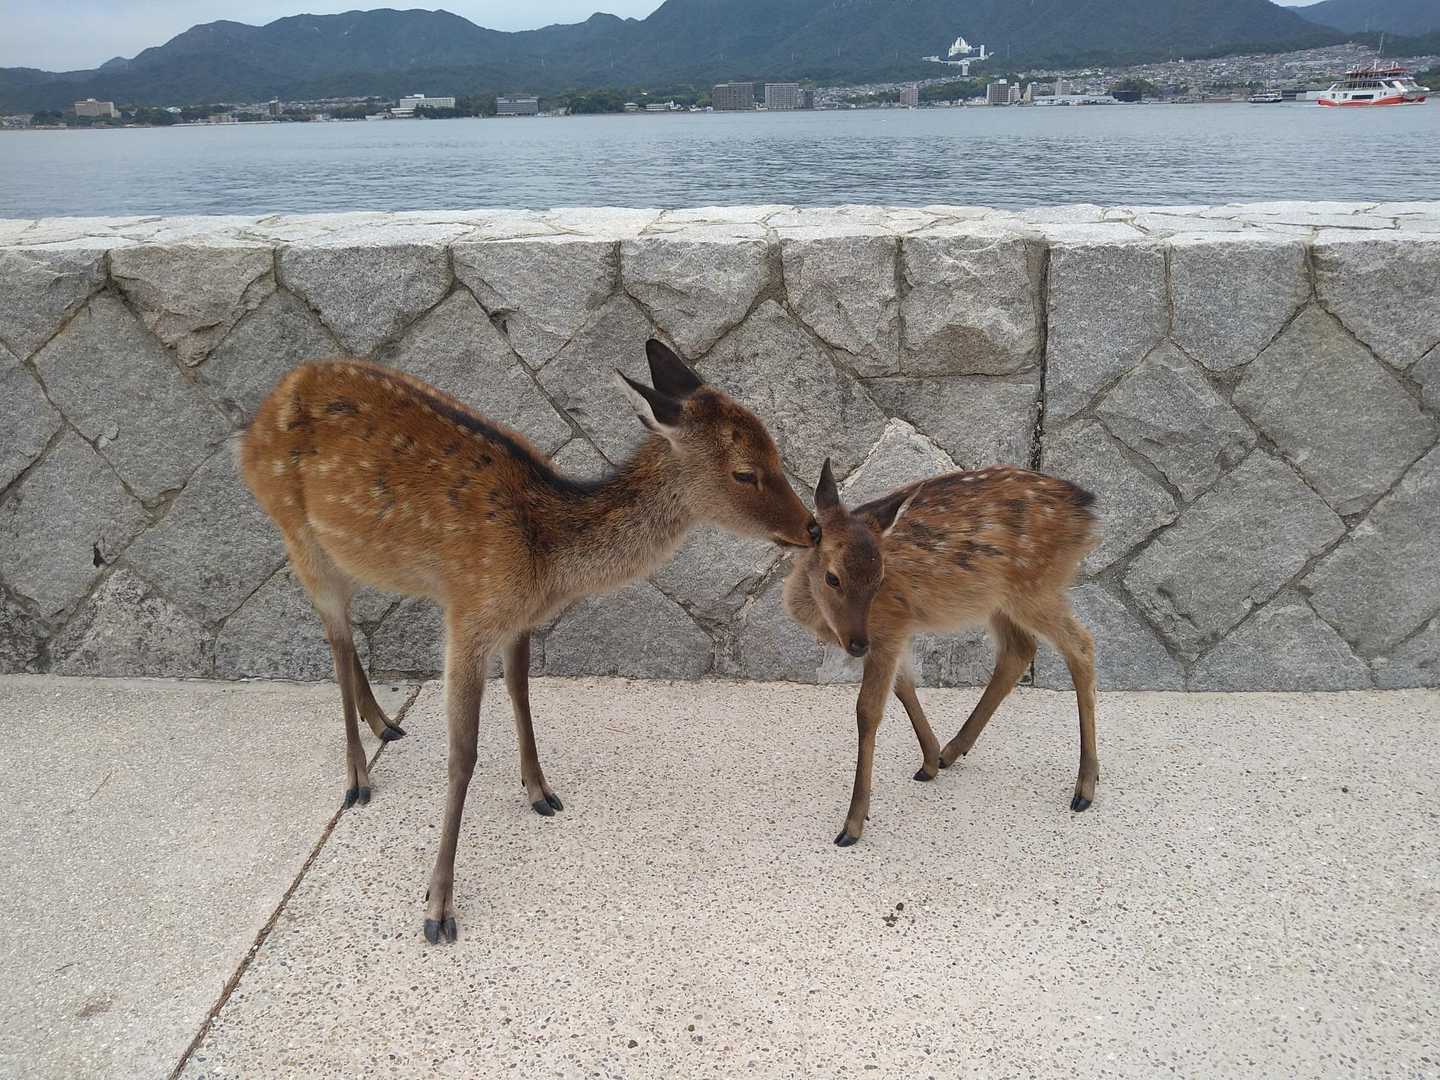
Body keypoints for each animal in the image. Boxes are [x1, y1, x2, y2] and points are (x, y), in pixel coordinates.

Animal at [240, 340, 818, 944]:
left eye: (777, 451)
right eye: (746, 472)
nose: (814, 527)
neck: (548, 559)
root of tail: (257, 421)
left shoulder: (519, 621)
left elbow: (521, 694)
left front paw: (540, 791)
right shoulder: (469, 612)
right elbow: (463, 754)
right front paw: (437, 908)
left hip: (348, 554)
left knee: (347, 635)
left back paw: (385, 724)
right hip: (298, 534)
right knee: (333, 636)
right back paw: (356, 778)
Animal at [782, 459, 1100, 847]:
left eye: (879, 578)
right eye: (833, 577)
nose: (857, 644)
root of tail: (1086, 510)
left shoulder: (889, 626)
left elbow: (868, 711)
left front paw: (852, 825)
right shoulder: (892, 634)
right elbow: (904, 686)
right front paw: (930, 760)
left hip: (1035, 587)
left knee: (1081, 644)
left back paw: (1085, 787)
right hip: (1000, 598)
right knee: (1019, 649)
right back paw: (951, 751)